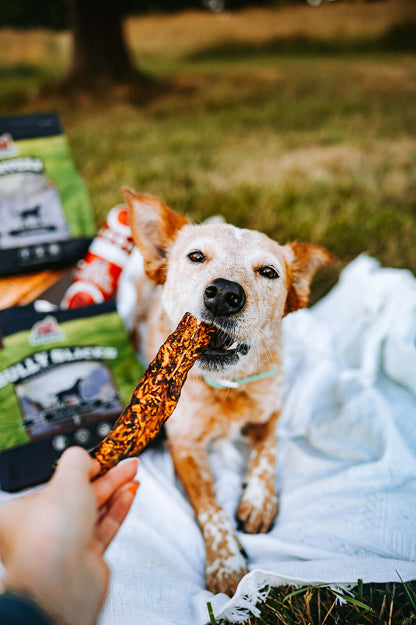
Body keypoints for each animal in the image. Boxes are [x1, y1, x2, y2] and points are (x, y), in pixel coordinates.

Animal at [122, 189, 336, 596]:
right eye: (196, 256)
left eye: (268, 272)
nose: (224, 293)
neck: (226, 389)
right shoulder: (184, 444)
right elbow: (209, 504)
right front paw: (226, 562)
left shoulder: (269, 414)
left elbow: (267, 453)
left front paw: (258, 501)